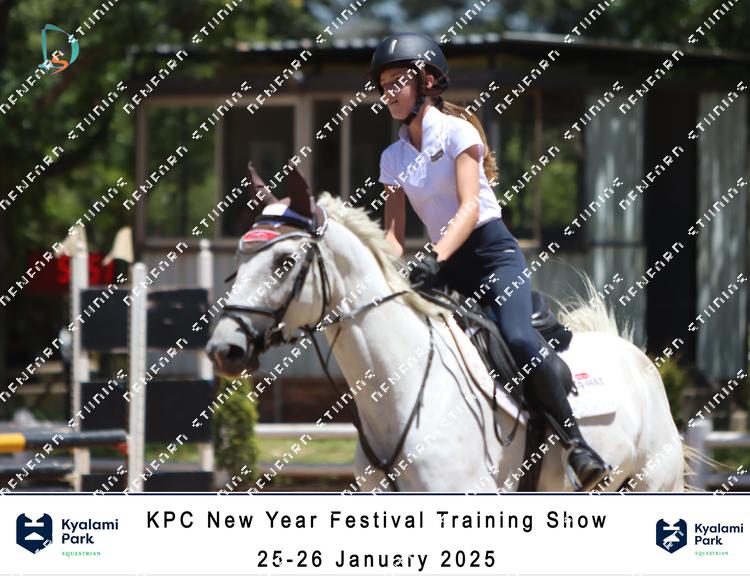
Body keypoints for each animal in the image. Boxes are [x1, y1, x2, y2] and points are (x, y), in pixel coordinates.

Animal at [206, 163, 687, 492]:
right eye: (238, 262)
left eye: (284, 261)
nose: (223, 348)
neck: (399, 390)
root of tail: (633, 353)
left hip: (653, 483)